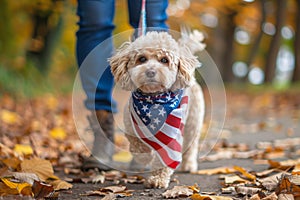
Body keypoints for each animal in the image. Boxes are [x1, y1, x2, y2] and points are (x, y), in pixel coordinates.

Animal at [110, 30, 206, 188]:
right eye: (142, 59)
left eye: (164, 60)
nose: (150, 72)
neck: (154, 102)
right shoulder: (131, 127)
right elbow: (137, 145)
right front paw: (145, 157)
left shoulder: (170, 135)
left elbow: (164, 160)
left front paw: (157, 179)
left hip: (193, 122)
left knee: (191, 145)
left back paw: (188, 165)